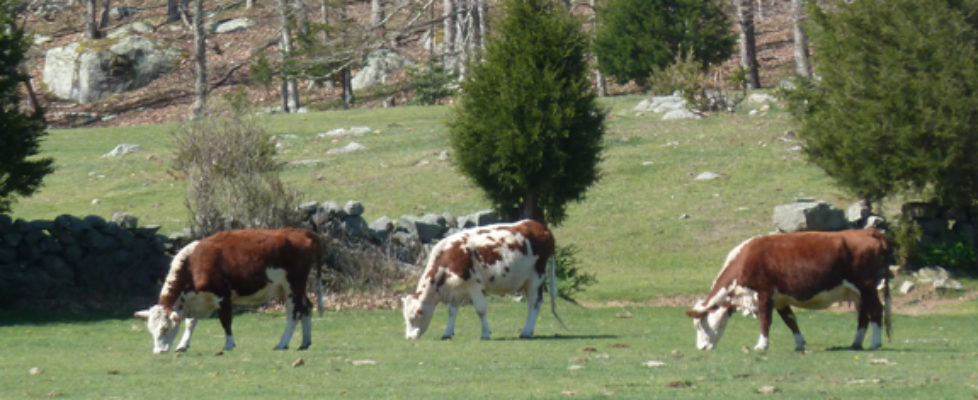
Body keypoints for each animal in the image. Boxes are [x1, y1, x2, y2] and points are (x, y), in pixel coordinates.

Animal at [133, 228, 322, 354]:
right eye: (151, 330)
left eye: (165, 328)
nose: (158, 351)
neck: (194, 263)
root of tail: (302, 231)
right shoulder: (196, 299)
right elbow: (190, 323)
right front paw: (183, 345)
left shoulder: (222, 295)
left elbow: (226, 321)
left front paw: (229, 344)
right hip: (292, 288)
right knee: (307, 307)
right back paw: (305, 342)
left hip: (293, 286)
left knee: (294, 314)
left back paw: (282, 343)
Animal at [400, 220, 560, 340]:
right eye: (405, 317)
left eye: (415, 316)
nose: (409, 337)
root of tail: (539, 226)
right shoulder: (457, 289)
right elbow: (452, 311)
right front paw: (447, 333)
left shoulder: (474, 285)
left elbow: (481, 310)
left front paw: (485, 333)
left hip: (536, 275)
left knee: (534, 303)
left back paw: (526, 331)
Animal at [684, 230, 888, 352]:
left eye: (700, 325)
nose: (701, 347)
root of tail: (865, 231)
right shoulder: (780, 299)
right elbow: (790, 321)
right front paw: (799, 344)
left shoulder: (764, 293)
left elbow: (765, 320)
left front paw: (761, 345)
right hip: (857, 292)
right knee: (864, 315)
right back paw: (856, 343)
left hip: (866, 286)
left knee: (876, 310)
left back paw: (875, 343)